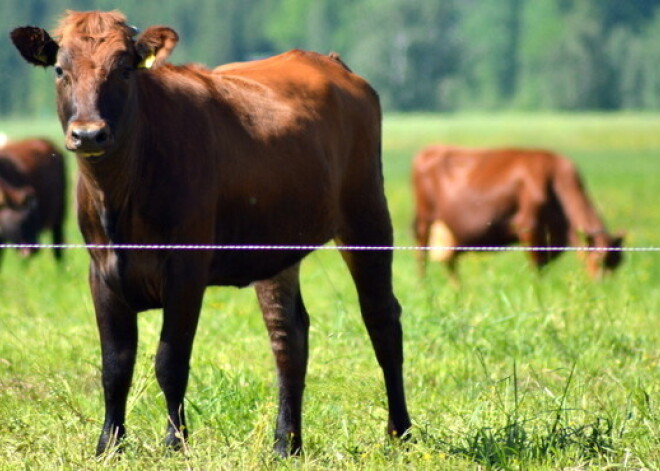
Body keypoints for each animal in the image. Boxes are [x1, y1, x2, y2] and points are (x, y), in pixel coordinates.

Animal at [412, 145, 624, 284]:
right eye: (598, 260)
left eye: (618, 263)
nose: (604, 286)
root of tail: (431, 149)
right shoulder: (528, 226)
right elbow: (537, 265)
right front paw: (538, 290)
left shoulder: (555, 237)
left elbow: (546, 262)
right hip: (425, 219)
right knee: (422, 253)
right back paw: (424, 285)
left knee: (449, 260)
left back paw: (457, 289)